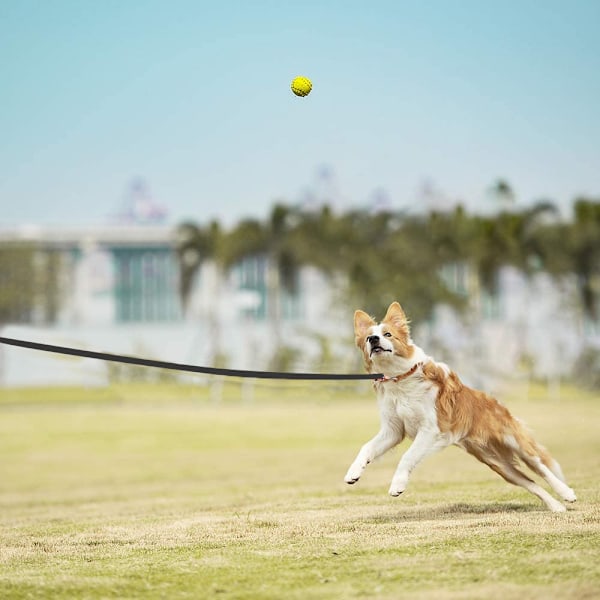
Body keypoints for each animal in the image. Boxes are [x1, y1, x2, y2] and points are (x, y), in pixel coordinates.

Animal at [342, 300, 576, 510]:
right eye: (368, 337)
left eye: (388, 334)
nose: (373, 339)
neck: (398, 379)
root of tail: (495, 401)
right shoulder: (393, 430)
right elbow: (366, 448)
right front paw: (353, 472)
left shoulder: (430, 429)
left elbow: (407, 456)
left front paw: (397, 485)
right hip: (498, 465)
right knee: (531, 483)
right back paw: (556, 506)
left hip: (514, 441)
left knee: (542, 468)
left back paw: (566, 493)